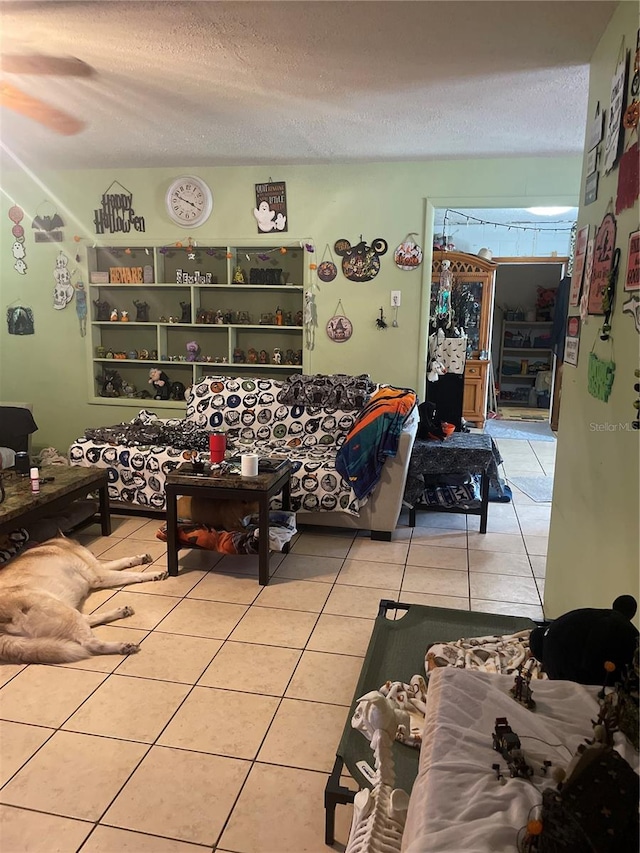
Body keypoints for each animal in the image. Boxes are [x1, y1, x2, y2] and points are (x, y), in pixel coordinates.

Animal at [0, 532, 168, 664]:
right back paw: (122, 646)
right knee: (90, 643)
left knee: (87, 620)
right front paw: (153, 574)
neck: (58, 543)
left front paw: (141, 558)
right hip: (55, 606)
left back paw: (120, 612)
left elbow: (121, 561)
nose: (93, 552)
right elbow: (133, 575)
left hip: (63, 610)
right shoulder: (100, 574)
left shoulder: (98, 568)